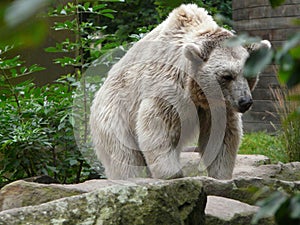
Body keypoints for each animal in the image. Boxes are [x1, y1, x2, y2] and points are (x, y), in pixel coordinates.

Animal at [89, 3, 272, 179]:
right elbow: (159, 125)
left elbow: (222, 134)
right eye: (227, 76)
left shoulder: (219, 104)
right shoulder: (169, 87)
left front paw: (221, 174)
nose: (245, 101)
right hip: (116, 113)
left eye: (249, 74)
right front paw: (172, 173)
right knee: (124, 156)